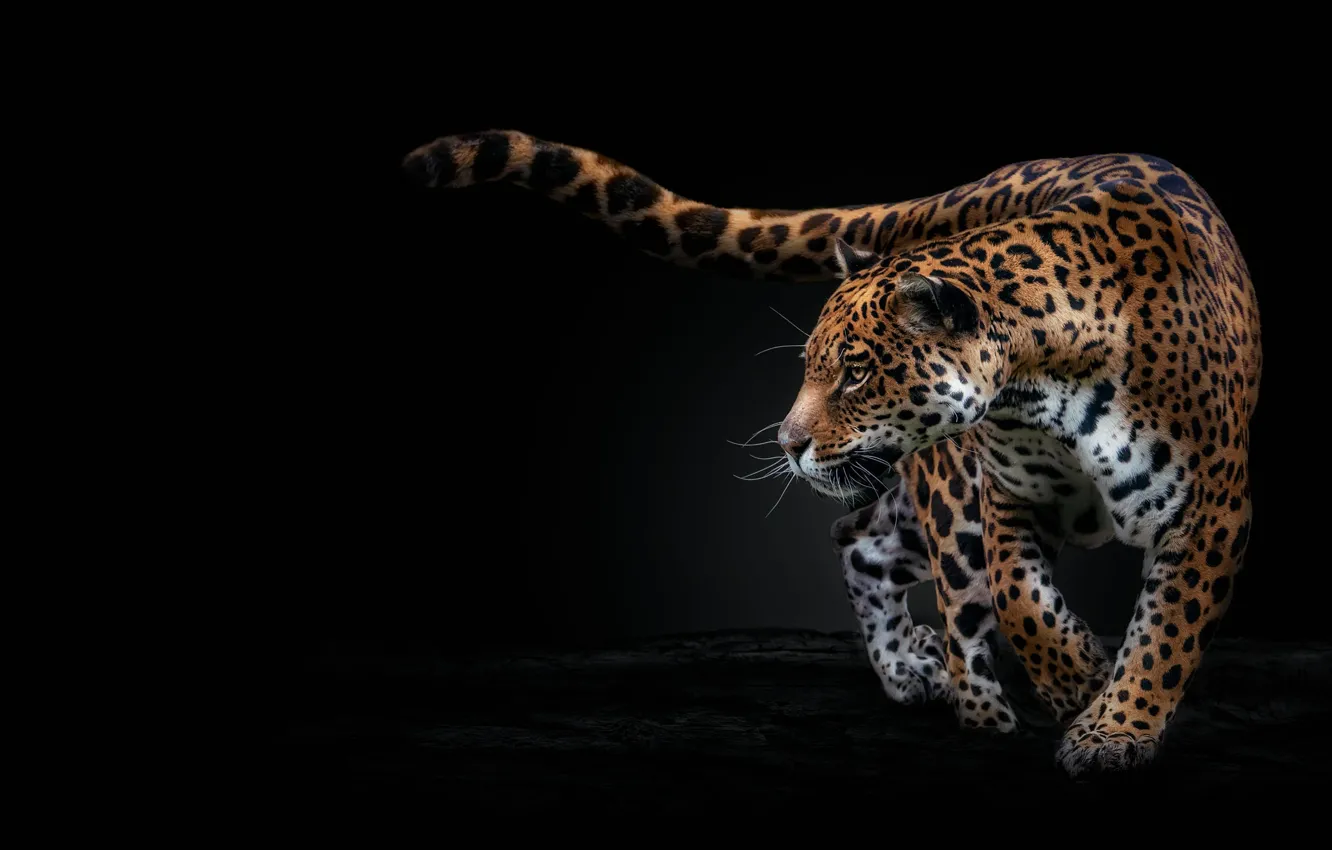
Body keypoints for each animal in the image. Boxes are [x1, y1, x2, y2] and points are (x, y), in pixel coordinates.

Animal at [401, 130, 1260, 777]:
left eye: (855, 371)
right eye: (811, 364)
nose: (787, 443)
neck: (1039, 380)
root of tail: (980, 184)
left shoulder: (1209, 509)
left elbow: (1167, 631)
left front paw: (1115, 730)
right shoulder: (1006, 495)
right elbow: (1022, 603)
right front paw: (1076, 673)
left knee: (862, 540)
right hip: (948, 495)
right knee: (900, 569)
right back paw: (963, 704)